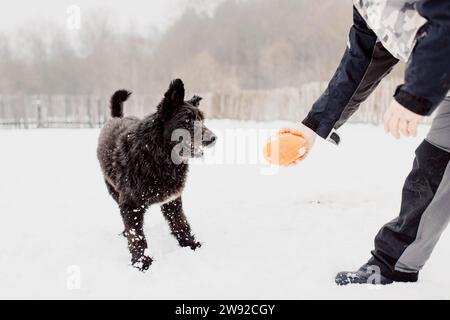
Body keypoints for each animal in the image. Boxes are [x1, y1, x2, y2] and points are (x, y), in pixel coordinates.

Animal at [97, 79, 217, 270]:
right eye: (187, 120)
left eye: (201, 119)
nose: (213, 138)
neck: (156, 154)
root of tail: (117, 118)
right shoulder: (130, 205)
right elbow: (137, 236)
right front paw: (141, 262)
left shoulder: (172, 200)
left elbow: (180, 223)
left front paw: (190, 245)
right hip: (114, 191)